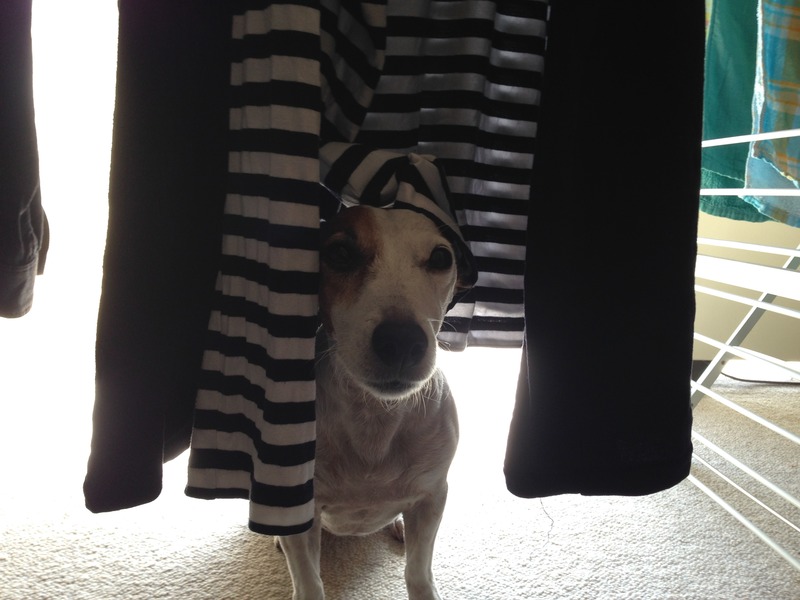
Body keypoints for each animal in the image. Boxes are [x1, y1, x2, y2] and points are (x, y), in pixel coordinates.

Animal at [276, 204, 475, 600]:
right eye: (339, 253)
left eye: (441, 258)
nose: (401, 342)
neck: (374, 415)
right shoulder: (300, 513)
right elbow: (309, 582)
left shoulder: (432, 497)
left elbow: (418, 572)